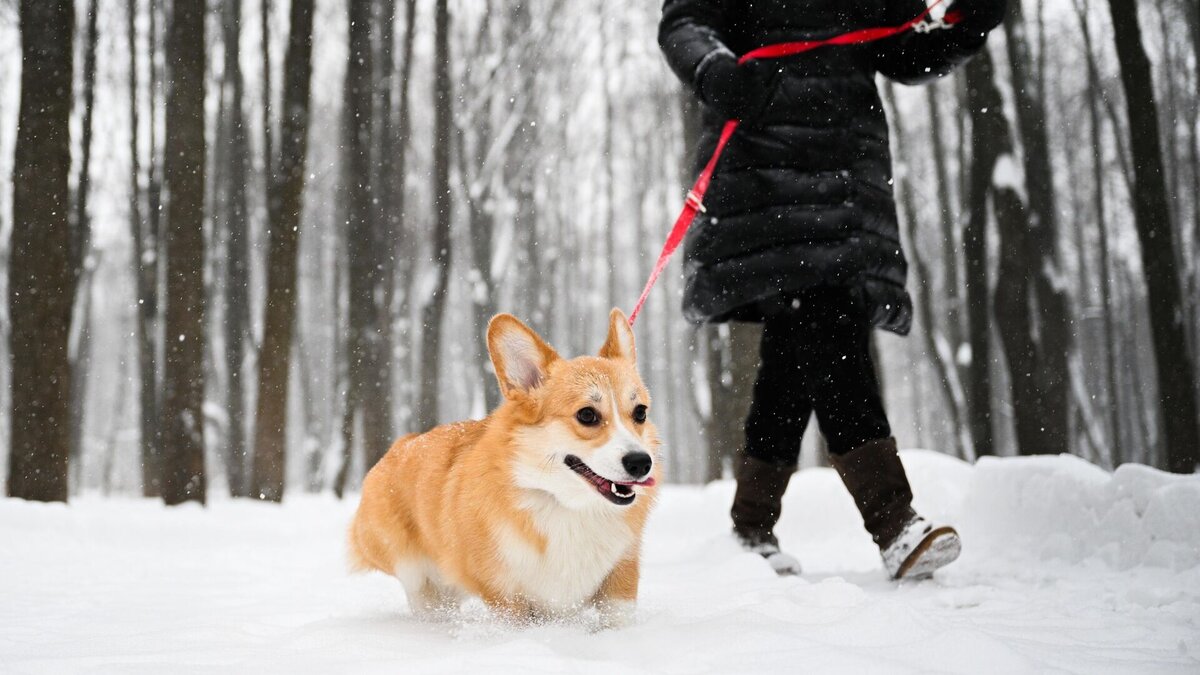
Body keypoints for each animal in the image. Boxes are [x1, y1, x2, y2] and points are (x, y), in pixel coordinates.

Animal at [348, 309, 667, 624]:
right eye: (587, 415)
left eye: (640, 412)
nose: (641, 463)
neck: (565, 506)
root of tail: (402, 444)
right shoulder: (506, 597)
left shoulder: (621, 577)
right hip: (419, 578)